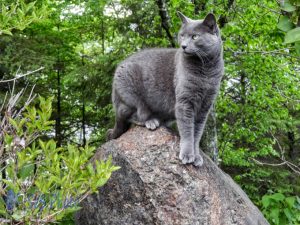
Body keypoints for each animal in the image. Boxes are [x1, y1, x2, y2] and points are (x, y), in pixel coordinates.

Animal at [107, 12, 223, 167]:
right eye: (182, 35)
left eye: (195, 37)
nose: (183, 46)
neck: (206, 71)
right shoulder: (184, 102)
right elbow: (187, 131)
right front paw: (187, 155)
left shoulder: (205, 106)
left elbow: (197, 133)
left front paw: (197, 156)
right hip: (129, 90)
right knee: (134, 115)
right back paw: (151, 121)